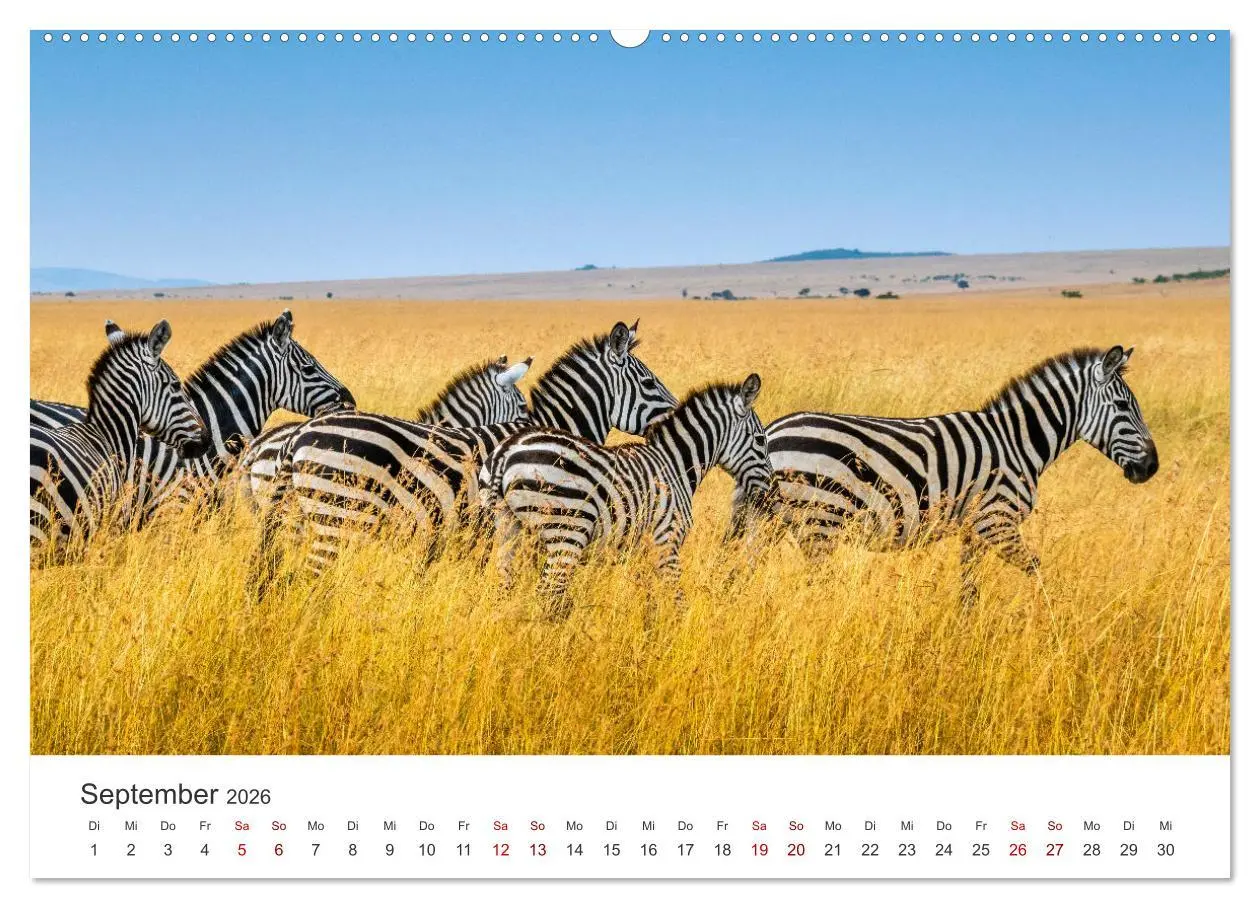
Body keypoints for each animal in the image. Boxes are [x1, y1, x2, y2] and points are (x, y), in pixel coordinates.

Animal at [481, 374, 770, 620]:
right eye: (760, 439)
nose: (769, 492)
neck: (675, 464)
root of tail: (506, 451)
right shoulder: (666, 540)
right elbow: (677, 599)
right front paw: (677, 634)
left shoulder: (642, 549)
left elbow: (649, 600)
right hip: (567, 533)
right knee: (548, 593)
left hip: (508, 528)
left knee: (505, 590)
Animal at [748, 345, 1159, 606]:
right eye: (1123, 406)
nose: (1151, 467)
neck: (1017, 441)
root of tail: (773, 431)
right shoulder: (997, 520)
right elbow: (1037, 571)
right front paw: (1052, 625)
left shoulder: (974, 529)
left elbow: (969, 589)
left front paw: (965, 634)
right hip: (820, 522)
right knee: (814, 584)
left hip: (772, 523)